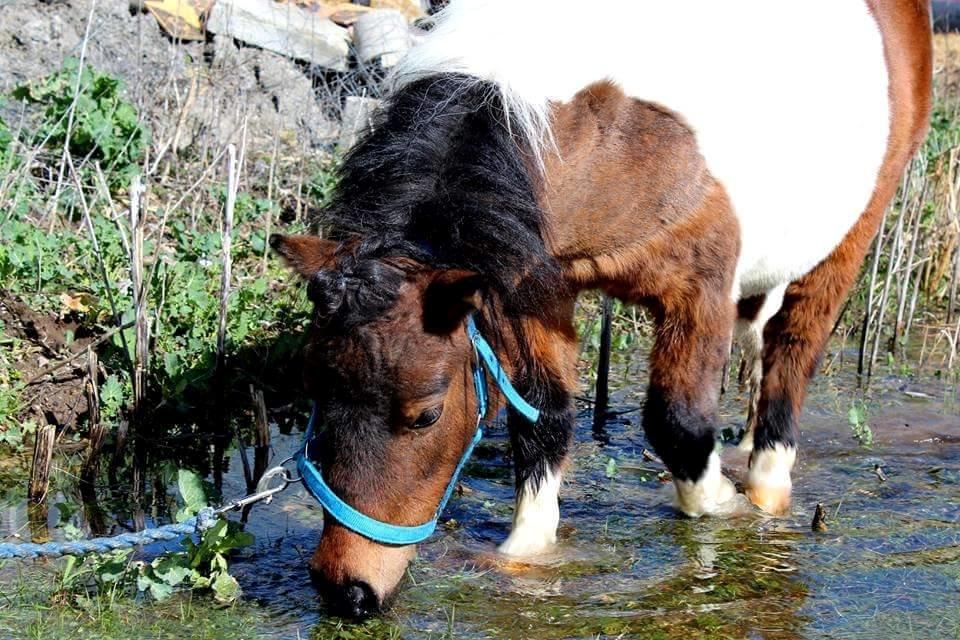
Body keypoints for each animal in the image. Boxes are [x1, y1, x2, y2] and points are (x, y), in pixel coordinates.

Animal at [268, 0, 928, 620]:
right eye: (315, 389)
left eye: (427, 415)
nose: (344, 588)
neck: (602, 128)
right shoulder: (532, 291)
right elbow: (543, 420)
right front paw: (526, 559)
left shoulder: (700, 290)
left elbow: (678, 422)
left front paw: (722, 505)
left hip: (845, 246)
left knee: (791, 360)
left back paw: (766, 492)